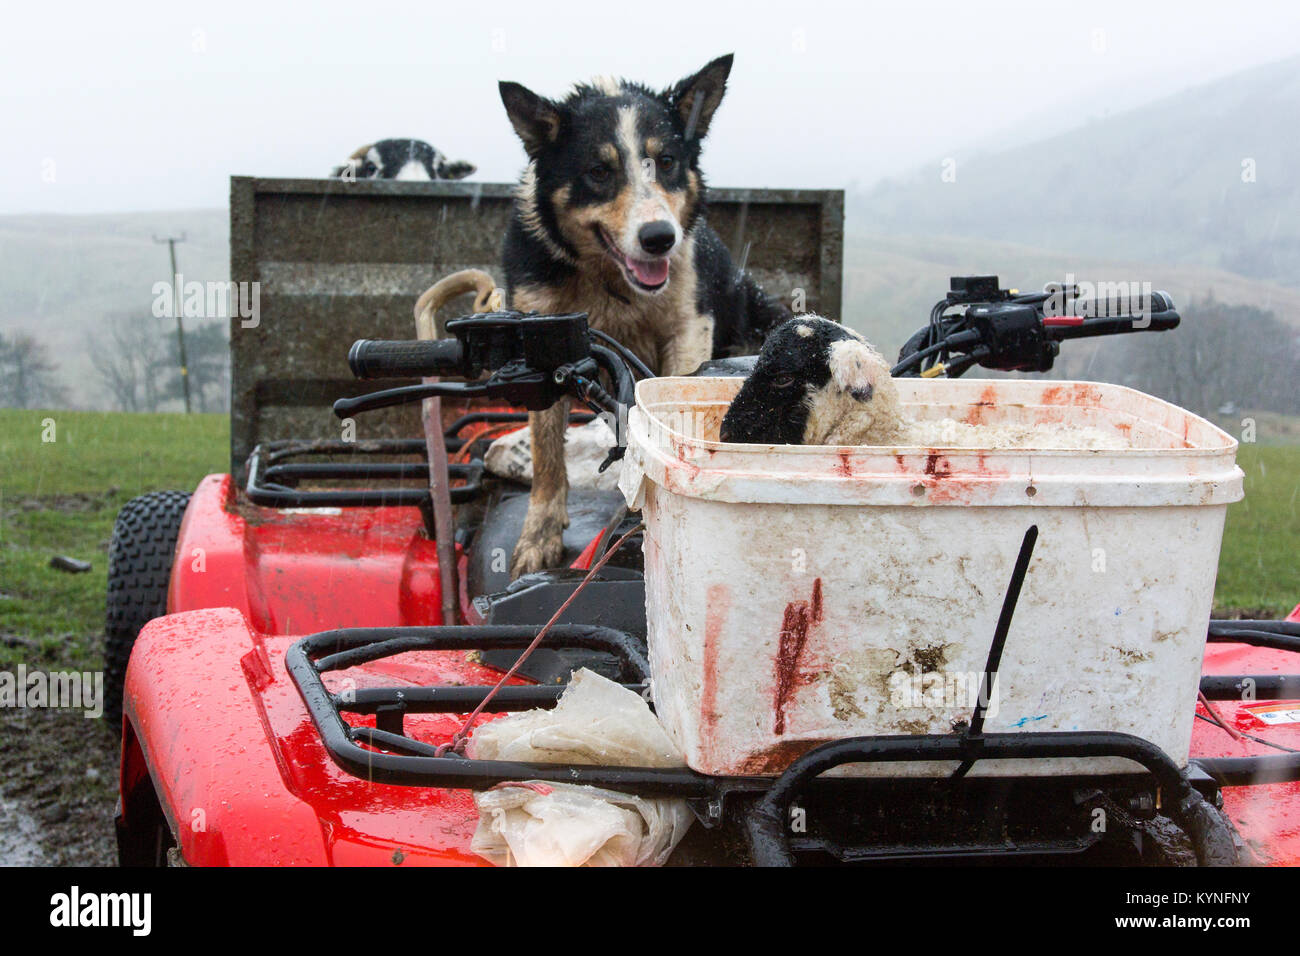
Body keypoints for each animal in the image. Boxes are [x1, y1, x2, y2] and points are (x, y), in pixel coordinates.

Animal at [499, 55, 790, 574]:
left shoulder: (688, 326)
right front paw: (538, 537)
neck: (611, 282)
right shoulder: (542, 333)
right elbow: (547, 450)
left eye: (668, 162)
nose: (659, 238)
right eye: (599, 171)